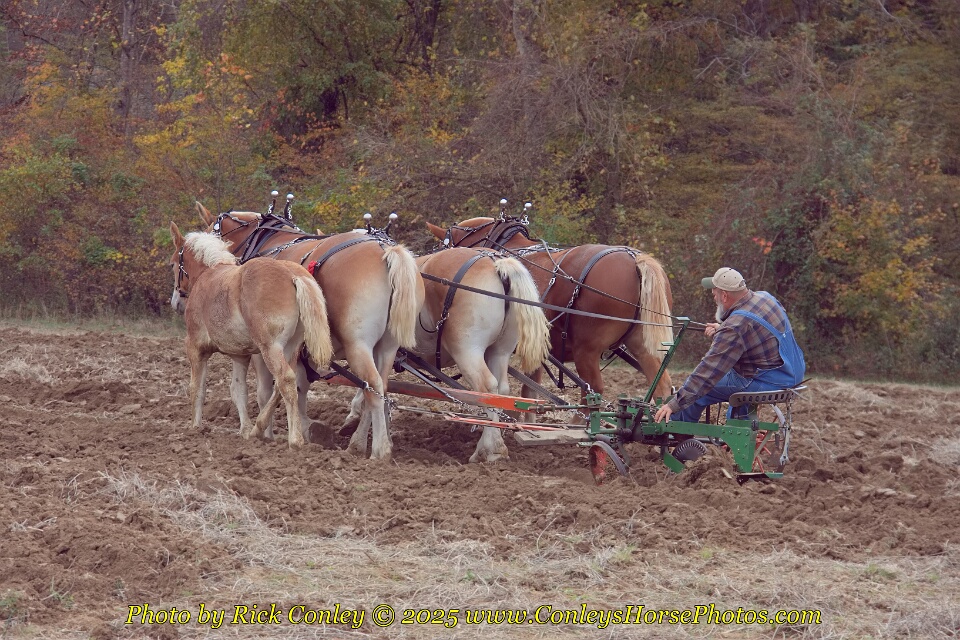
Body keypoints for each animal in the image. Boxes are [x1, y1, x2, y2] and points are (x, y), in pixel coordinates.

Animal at [168, 223, 333, 448]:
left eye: (173, 264)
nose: (176, 302)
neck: (209, 274)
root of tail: (291, 273)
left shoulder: (195, 348)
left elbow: (197, 388)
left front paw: (195, 427)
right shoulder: (240, 356)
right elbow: (239, 390)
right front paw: (245, 429)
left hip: (270, 348)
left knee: (286, 379)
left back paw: (294, 439)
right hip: (290, 348)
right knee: (282, 385)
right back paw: (258, 428)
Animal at [196, 204, 424, 460]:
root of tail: (386, 250)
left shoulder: (265, 348)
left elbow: (268, 389)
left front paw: (270, 432)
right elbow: (297, 385)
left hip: (358, 345)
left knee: (371, 385)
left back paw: (376, 450)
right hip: (387, 346)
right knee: (379, 386)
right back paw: (362, 443)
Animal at [408, 246, 550, 462]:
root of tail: (495, 263)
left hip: (468, 351)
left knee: (486, 388)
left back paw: (490, 450)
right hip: (499, 352)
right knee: (501, 390)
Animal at [426, 217, 674, 401]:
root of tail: (635, 260)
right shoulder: (536, 349)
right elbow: (530, 390)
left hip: (587, 351)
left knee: (593, 391)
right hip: (642, 344)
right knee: (661, 386)